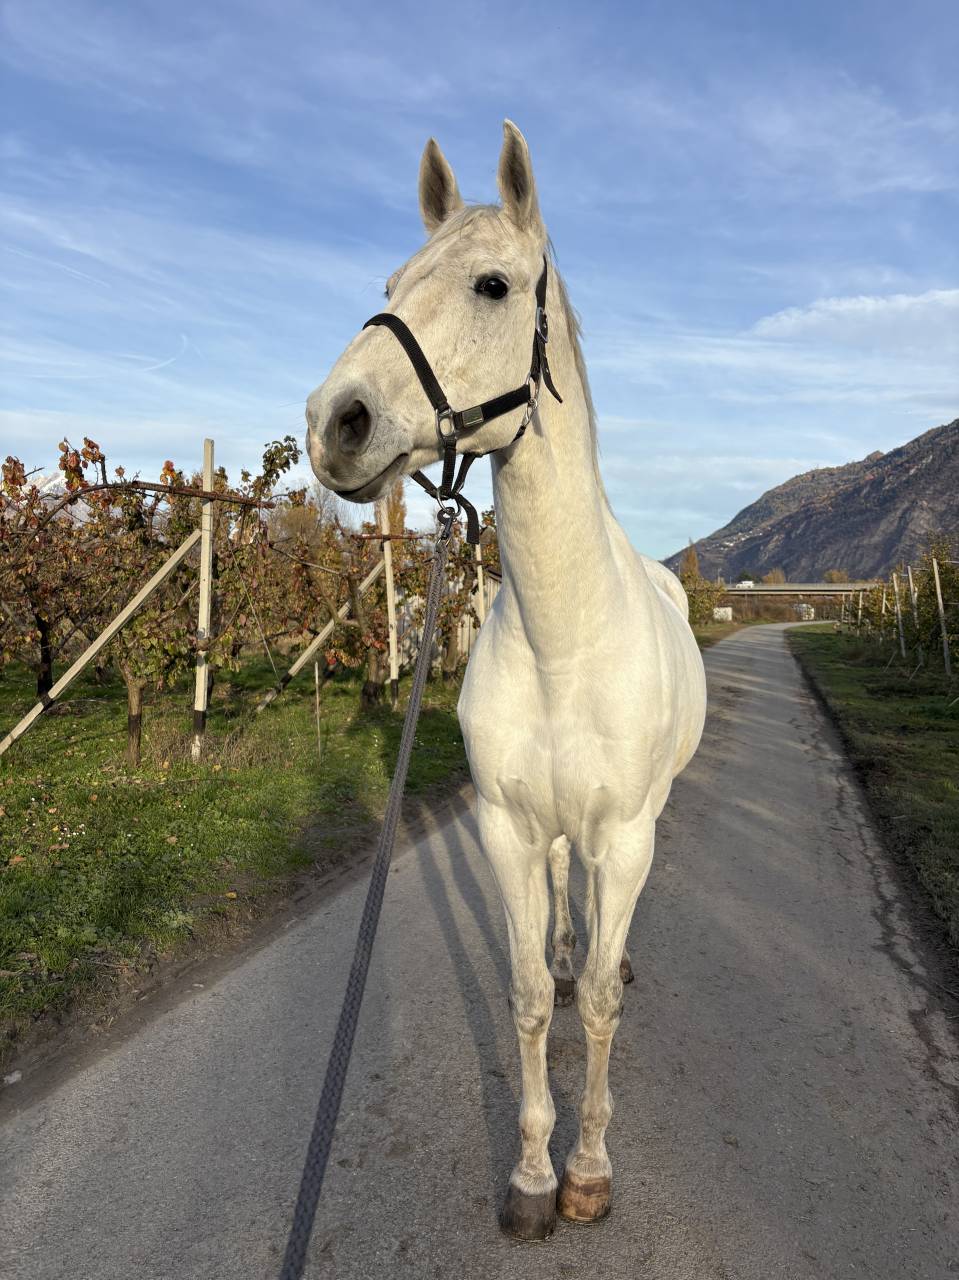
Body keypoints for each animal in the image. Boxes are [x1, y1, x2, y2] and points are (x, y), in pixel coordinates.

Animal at [305, 121, 707, 1241]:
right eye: (390, 282)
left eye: (491, 284)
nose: (335, 420)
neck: (564, 636)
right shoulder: (507, 830)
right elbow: (528, 996)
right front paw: (532, 1176)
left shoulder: (625, 833)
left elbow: (604, 1011)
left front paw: (587, 1170)